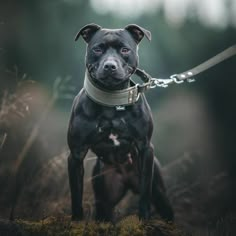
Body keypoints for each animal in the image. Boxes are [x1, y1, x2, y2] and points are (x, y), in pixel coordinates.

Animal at [67, 23, 174, 222]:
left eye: (125, 50)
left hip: (160, 194)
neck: (111, 101)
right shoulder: (76, 155)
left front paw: (143, 218)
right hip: (104, 198)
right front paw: (76, 221)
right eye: (98, 49)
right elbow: (76, 196)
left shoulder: (145, 148)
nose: (110, 66)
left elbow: (145, 194)